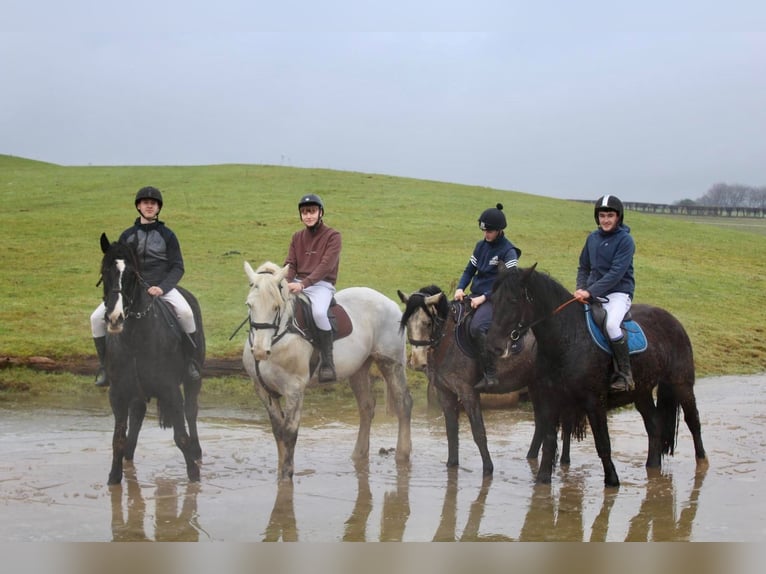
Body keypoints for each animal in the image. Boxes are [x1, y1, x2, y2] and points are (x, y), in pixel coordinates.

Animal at [100, 234, 207, 486]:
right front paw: (114, 478)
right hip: (137, 391)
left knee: (191, 412)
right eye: (104, 271)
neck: (134, 339)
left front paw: (194, 477)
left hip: (192, 380)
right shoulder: (117, 394)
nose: (114, 318)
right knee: (137, 415)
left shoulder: (170, 390)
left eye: (131, 274)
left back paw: (196, 452)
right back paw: (129, 456)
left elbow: (181, 436)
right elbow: (117, 439)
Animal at [400, 286, 536, 480]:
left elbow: (478, 431)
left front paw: (488, 470)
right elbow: (451, 430)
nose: (417, 362)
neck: (448, 340)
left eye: (427, 323)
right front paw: (452, 465)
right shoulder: (445, 392)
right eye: (406, 323)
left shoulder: (468, 392)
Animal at [488, 264, 712, 486]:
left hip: (681, 384)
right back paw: (652, 466)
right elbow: (549, 442)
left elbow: (603, 443)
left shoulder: (594, 401)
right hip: (642, 391)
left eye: (513, 300)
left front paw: (612, 481)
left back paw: (702, 463)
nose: (495, 346)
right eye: (493, 299)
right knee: (654, 424)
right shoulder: (548, 399)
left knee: (693, 422)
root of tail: (672, 320)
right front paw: (542, 481)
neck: (568, 338)